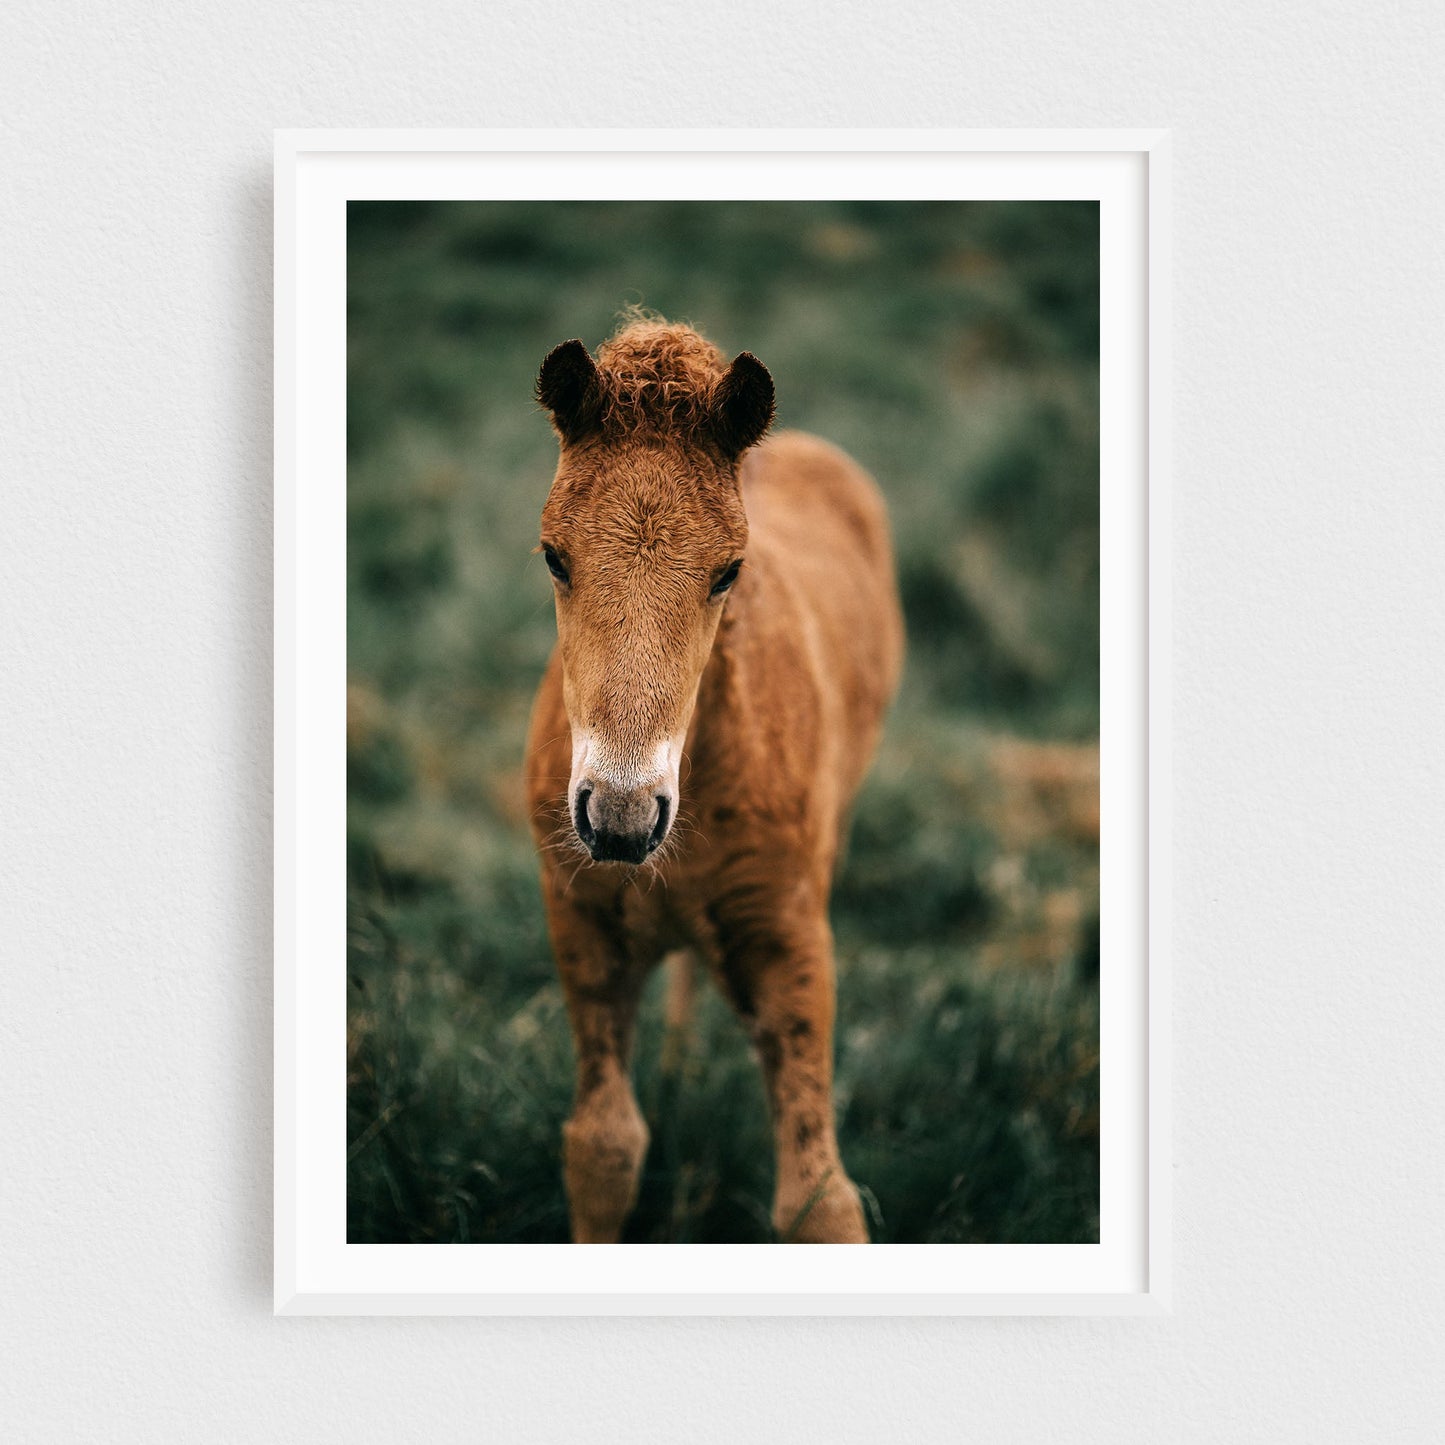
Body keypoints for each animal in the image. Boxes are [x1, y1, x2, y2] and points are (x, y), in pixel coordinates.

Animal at [525, 316, 904, 1243]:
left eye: (728, 570)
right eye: (553, 556)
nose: (619, 819)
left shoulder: (788, 939)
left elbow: (818, 1199)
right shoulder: (581, 920)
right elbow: (603, 1146)